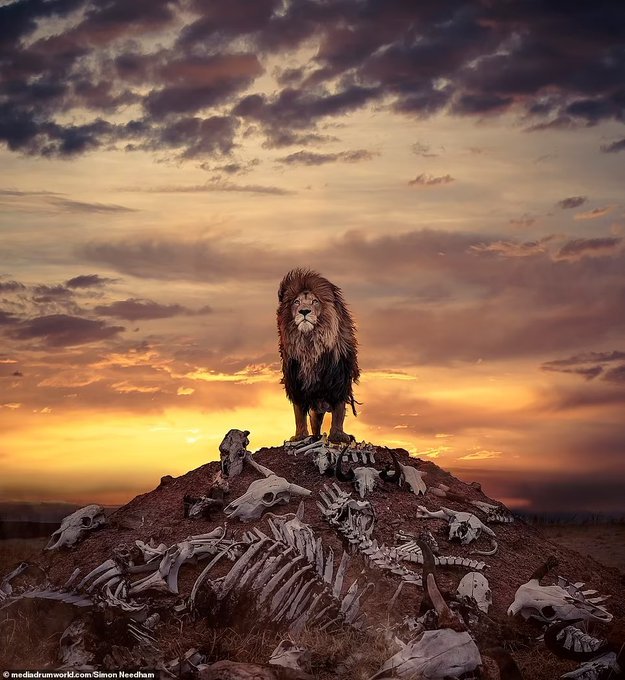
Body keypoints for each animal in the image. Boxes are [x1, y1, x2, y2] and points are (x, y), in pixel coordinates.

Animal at [277, 268, 360, 443]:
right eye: (296, 302)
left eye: (315, 301)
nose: (304, 311)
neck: (310, 343)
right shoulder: (296, 383)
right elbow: (299, 413)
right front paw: (300, 436)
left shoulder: (339, 380)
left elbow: (339, 412)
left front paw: (338, 436)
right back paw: (314, 436)